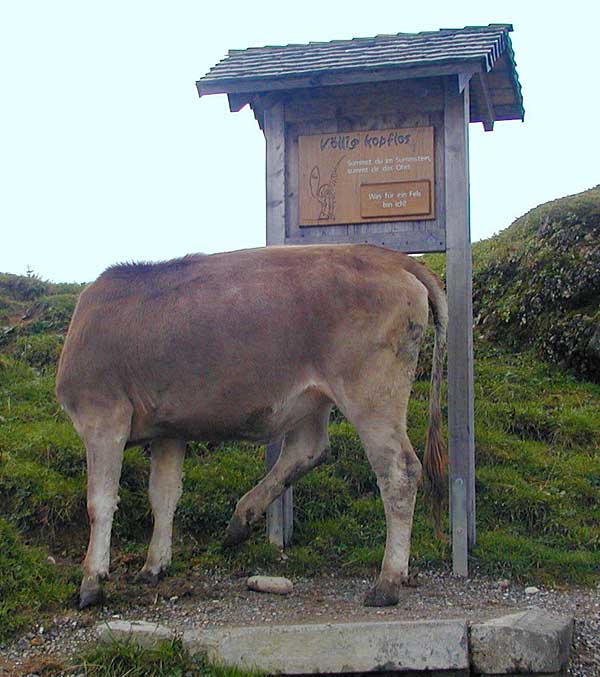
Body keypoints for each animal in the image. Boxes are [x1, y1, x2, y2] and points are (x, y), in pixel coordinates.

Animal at [55, 243, 446, 608]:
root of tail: (389, 256)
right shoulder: (169, 430)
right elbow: (163, 495)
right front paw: (154, 566)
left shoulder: (102, 415)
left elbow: (100, 501)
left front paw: (92, 581)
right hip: (315, 396)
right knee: (309, 449)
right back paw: (240, 521)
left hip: (371, 393)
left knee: (399, 472)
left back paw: (388, 581)